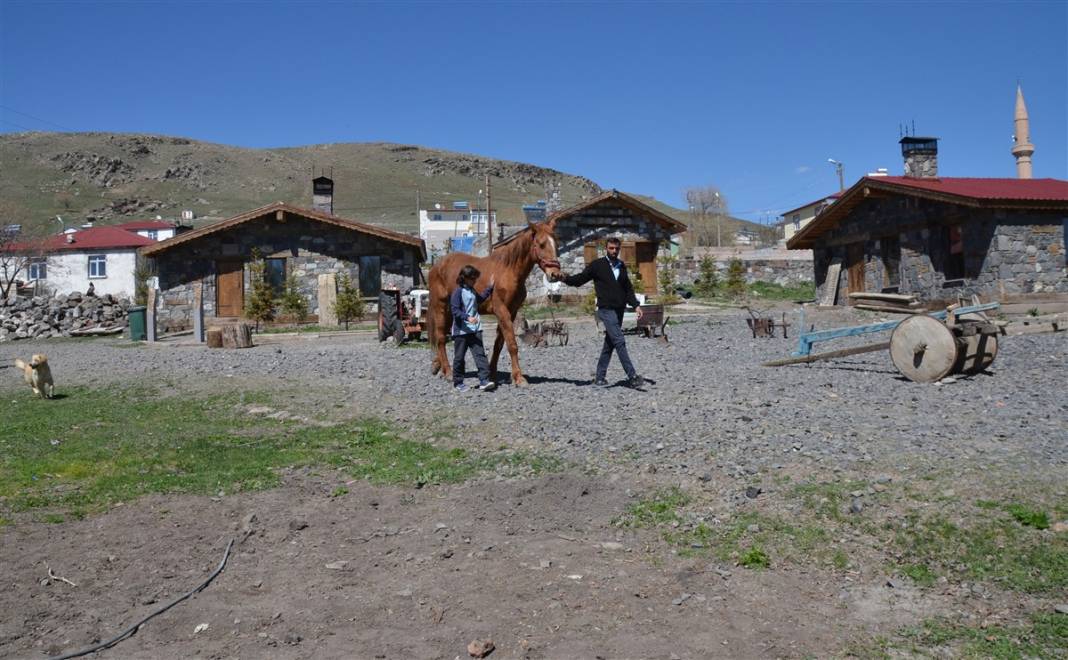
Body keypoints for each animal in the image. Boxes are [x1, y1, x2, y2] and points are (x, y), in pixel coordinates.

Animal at [427, 220, 563, 384]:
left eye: (556, 243)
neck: (508, 271)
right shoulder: (501, 310)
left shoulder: (511, 312)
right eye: (541, 244)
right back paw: (447, 372)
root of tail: (436, 266)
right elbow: (512, 344)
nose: (555, 274)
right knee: (440, 338)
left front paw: (492, 373)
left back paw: (439, 367)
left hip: (451, 312)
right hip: (440, 307)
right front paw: (519, 378)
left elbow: (499, 344)